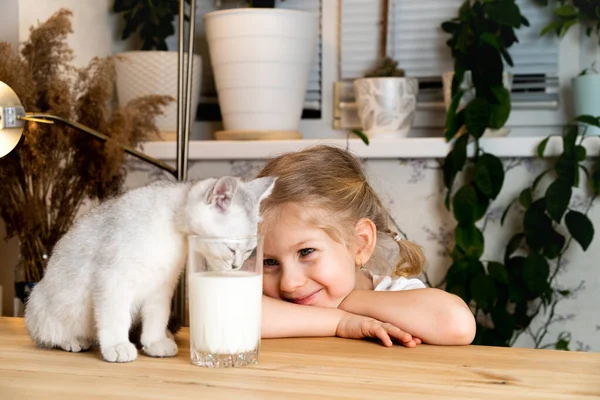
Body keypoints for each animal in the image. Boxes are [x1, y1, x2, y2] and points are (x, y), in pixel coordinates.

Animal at [24, 175, 276, 362]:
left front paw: (154, 342)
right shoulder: (112, 279)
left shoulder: (162, 286)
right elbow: (116, 317)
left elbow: (157, 317)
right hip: (40, 303)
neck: (172, 227)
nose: (236, 266)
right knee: (49, 335)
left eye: (249, 251)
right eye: (231, 249)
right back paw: (74, 340)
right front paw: (118, 345)